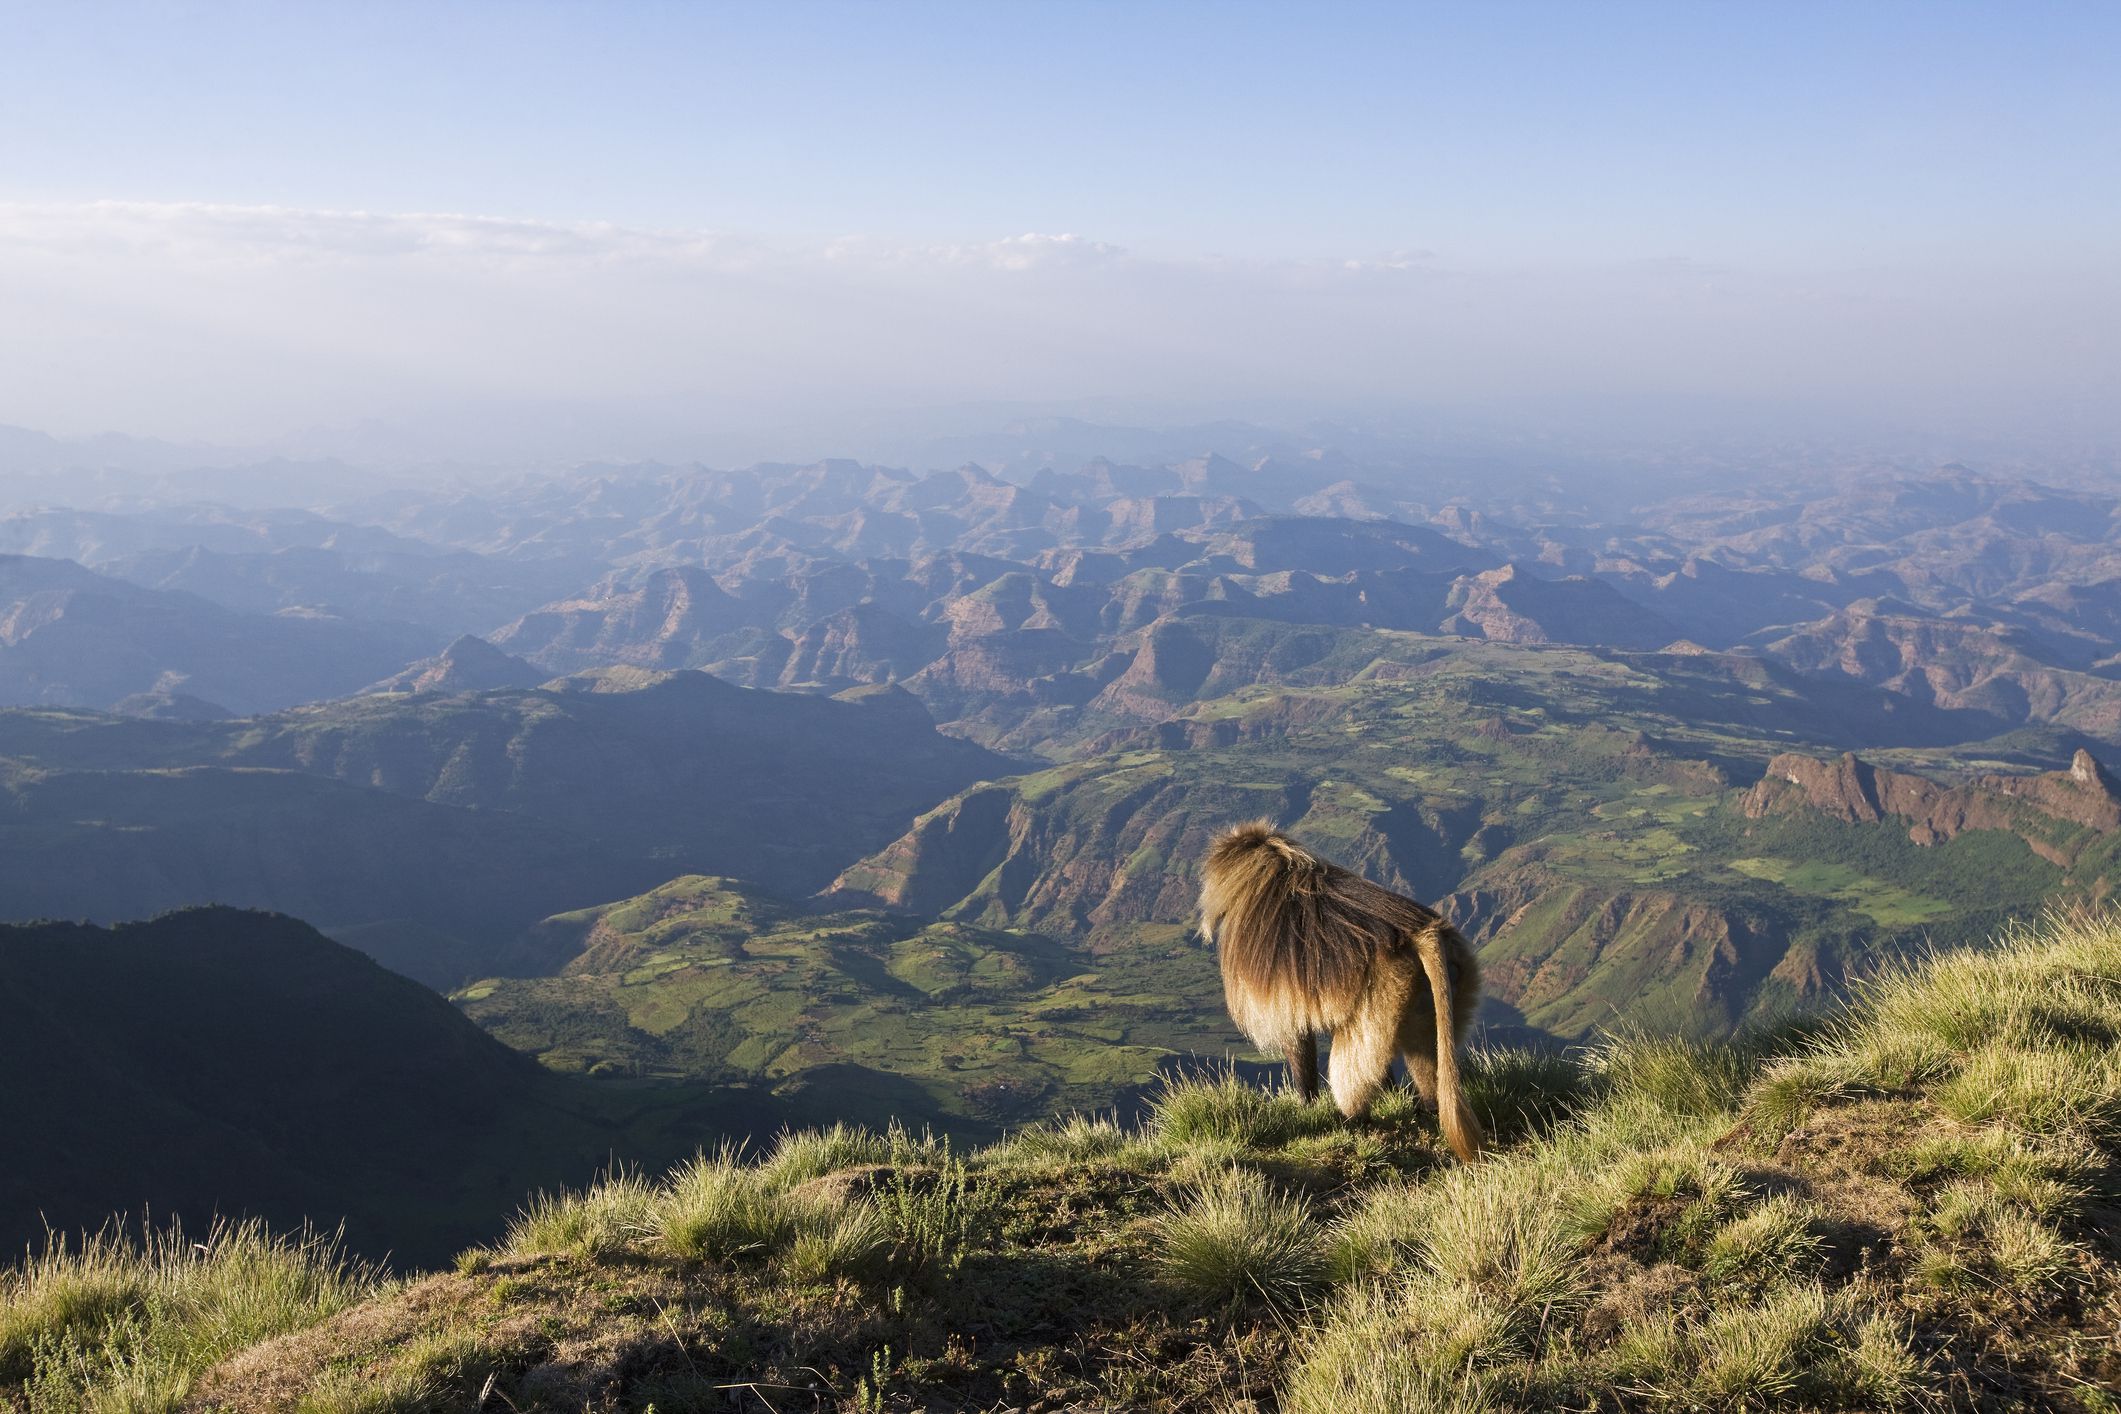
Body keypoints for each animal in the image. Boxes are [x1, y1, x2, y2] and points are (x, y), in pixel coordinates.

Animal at [1197, 820, 1486, 1162]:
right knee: (1423, 1051)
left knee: (1354, 1057)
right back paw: (1426, 1109)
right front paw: (1389, 1092)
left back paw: (1353, 1119)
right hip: (1451, 981)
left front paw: (1306, 1105)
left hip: (1386, 990)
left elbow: (1296, 1035)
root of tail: (1420, 934)